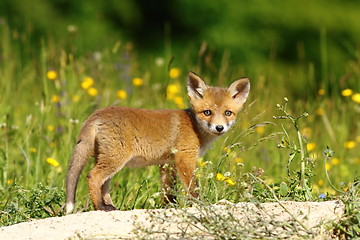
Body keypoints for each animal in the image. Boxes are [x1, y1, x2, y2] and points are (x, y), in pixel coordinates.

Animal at [65, 71, 250, 214]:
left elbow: (169, 192)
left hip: (107, 159)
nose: (219, 128)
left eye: (228, 113)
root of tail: (97, 114)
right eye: (207, 112)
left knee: (103, 184)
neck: (194, 126)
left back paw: (109, 206)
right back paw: (100, 207)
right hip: (115, 159)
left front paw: (169, 208)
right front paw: (200, 205)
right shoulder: (185, 158)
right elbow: (193, 187)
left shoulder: (167, 164)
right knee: (93, 177)